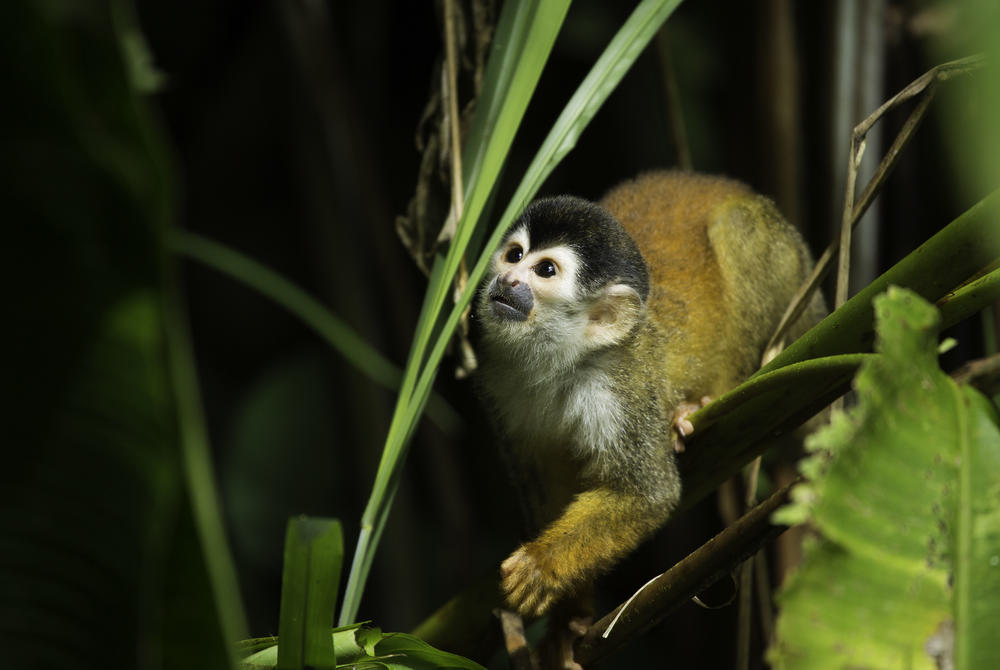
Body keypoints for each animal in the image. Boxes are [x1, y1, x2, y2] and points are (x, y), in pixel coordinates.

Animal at [472, 171, 824, 628]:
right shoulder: (498, 380)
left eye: (545, 270)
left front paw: (542, 565)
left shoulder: (623, 390)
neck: (560, 359)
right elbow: (546, 486)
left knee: (737, 229)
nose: (507, 281)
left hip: (792, 275)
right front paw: (570, 611)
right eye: (514, 255)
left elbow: (646, 493)